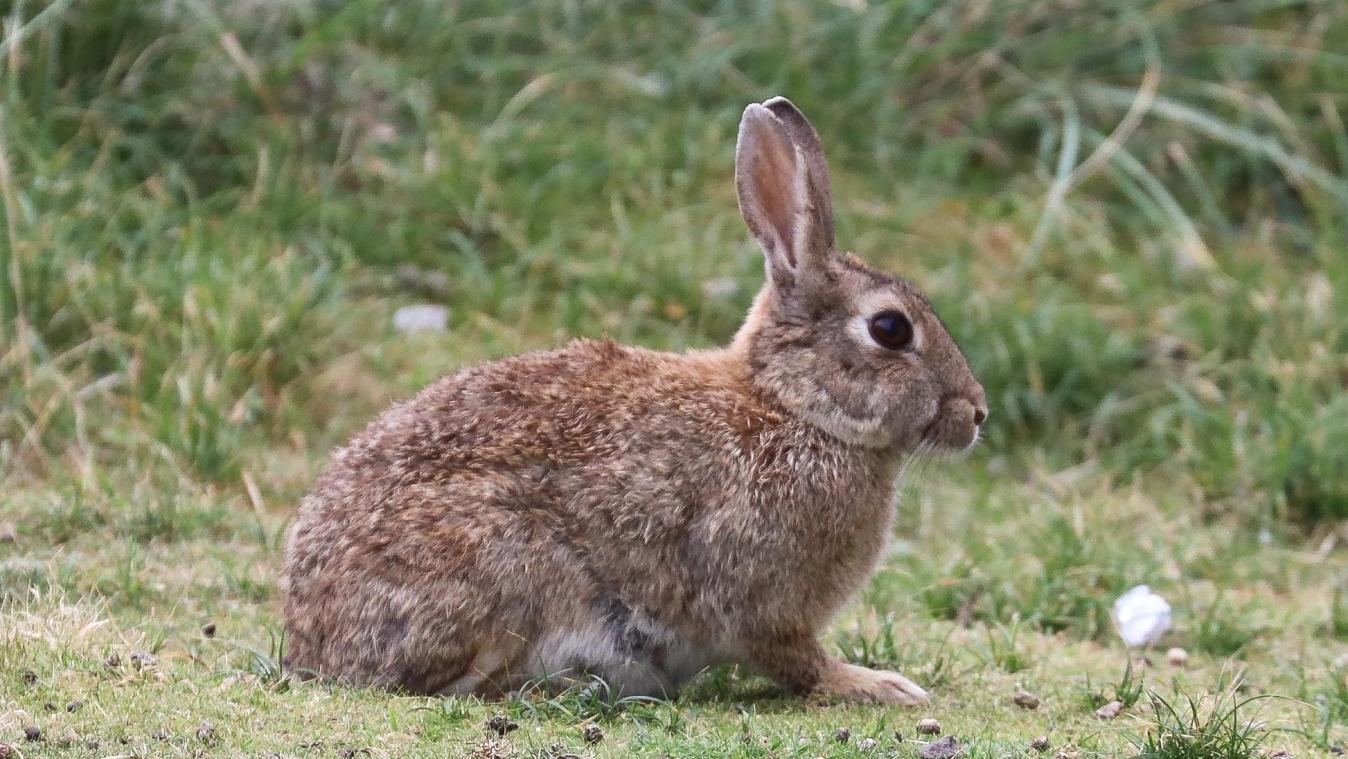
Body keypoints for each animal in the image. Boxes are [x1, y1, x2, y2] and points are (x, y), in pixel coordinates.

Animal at [281, 96, 987, 705]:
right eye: (890, 329)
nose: (977, 412)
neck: (794, 409)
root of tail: (310, 642)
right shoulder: (759, 597)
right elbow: (797, 660)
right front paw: (879, 685)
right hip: (508, 563)